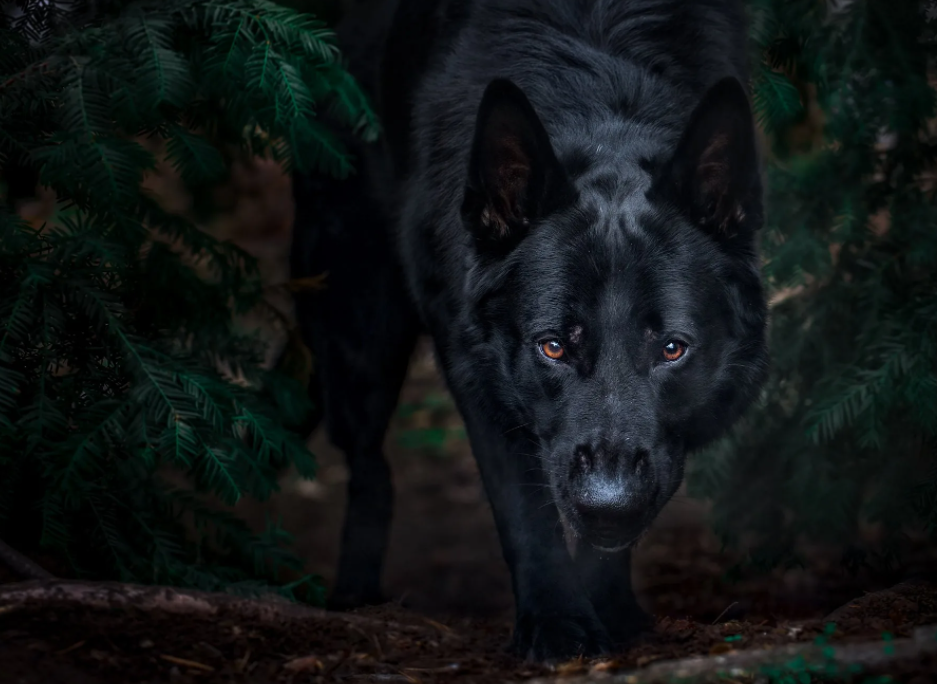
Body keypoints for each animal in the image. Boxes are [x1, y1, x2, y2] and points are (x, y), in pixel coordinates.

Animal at [290, 0, 768, 664]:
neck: (601, 93)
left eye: (672, 349)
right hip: (362, 334)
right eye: (554, 347)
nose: (608, 504)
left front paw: (610, 612)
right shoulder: (478, 371)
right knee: (368, 467)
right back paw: (357, 599)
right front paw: (558, 625)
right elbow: (525, 511)